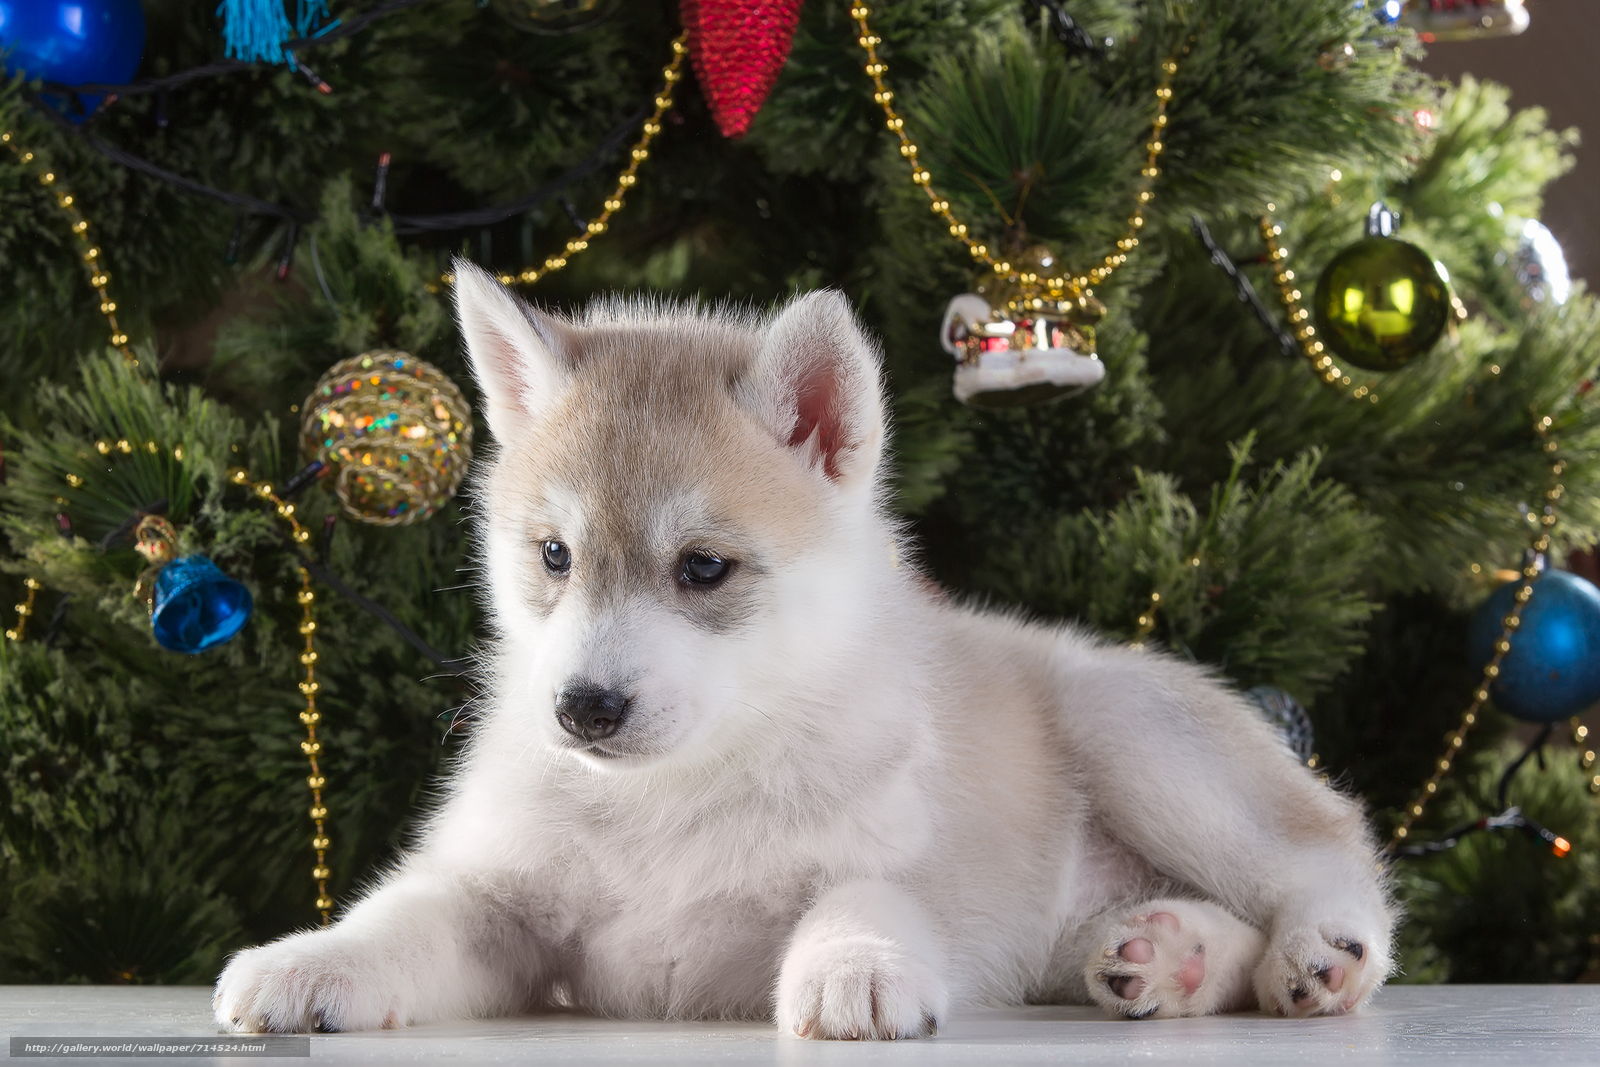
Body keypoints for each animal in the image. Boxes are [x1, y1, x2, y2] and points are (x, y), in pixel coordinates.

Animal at [212, 267, 1388, 1043]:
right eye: (553, 554)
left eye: (703, 567)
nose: (583, 707)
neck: (676, 799)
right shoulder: (501, 905)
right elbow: (402, 913)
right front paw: (308, 956)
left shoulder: (902, 861)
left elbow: (860, 897)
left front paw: (853, 967)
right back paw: (1166, 955)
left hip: (1134, 732)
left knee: (1328, 849)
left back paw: (1318, 954)